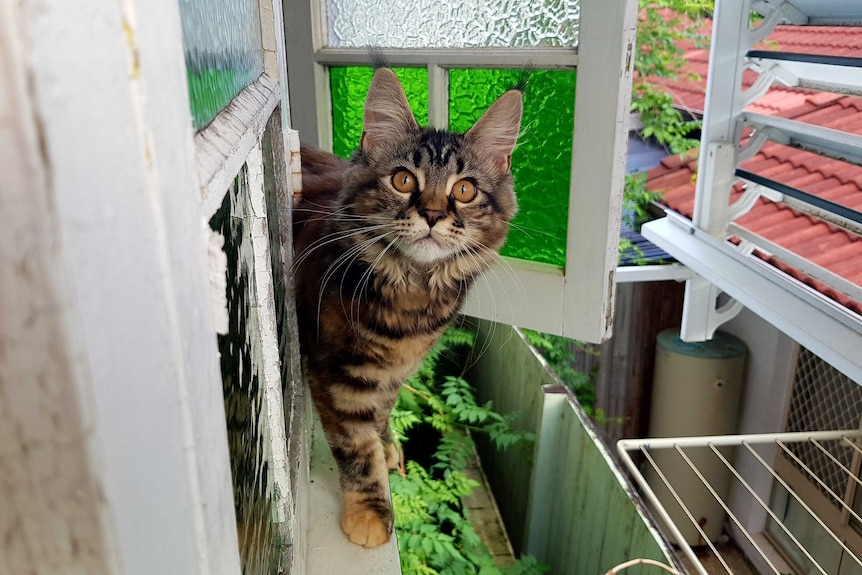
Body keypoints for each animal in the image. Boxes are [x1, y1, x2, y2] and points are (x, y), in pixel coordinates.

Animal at [294, 67, 524, 548]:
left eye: (464, 190)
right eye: (403, 180)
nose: (433, 215)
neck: (412, 297)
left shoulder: (392, 372)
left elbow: (381, 416)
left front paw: (386, 449)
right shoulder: (338, 377)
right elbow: (356, 448)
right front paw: (369, 512)